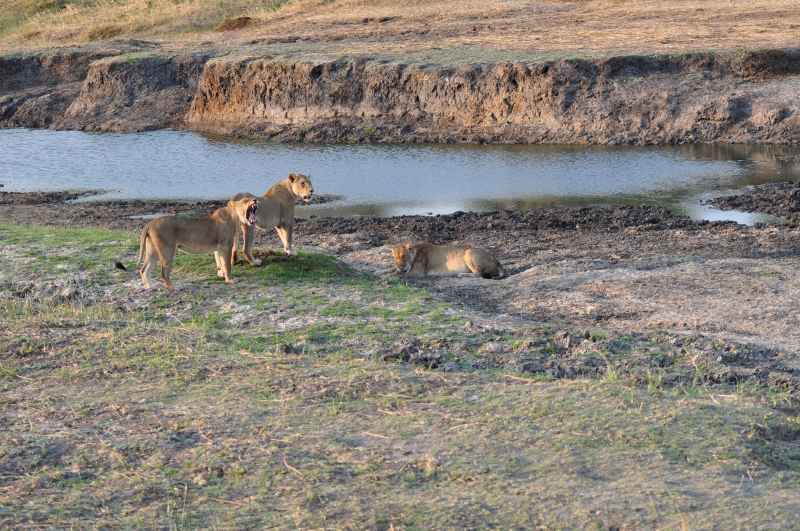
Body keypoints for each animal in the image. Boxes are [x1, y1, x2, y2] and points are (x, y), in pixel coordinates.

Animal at [115, 197, 258, 290]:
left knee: (144, 269)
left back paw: (151, 287)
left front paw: (221, 275)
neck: (236, 218)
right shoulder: (226, 246)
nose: (255, 200)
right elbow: (227, 264)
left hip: (153, 251)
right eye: (245, 200)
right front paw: (230, 280)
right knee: (164, 272)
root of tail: (151, 222)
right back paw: (174, 288)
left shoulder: (218, 248)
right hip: (167, 249)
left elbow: (220, 263)